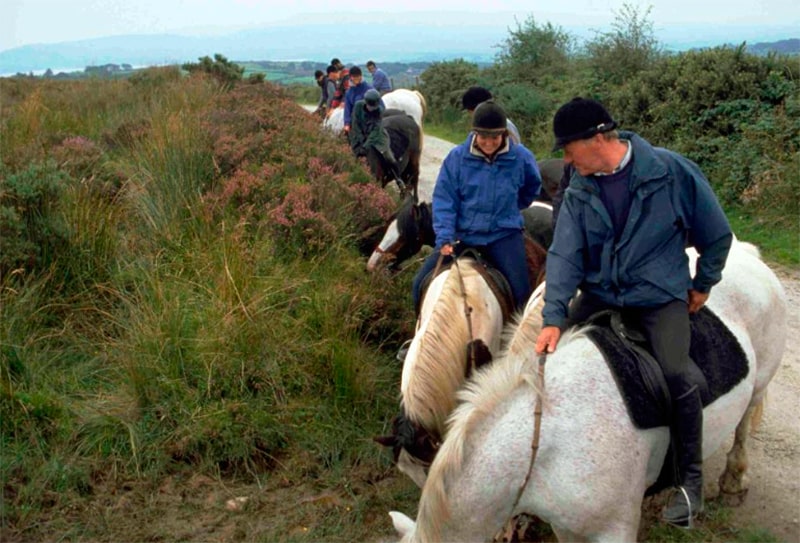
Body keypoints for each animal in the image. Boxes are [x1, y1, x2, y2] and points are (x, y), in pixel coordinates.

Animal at [390, 240, 784, 540]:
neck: (546, 441)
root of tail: (748, 254)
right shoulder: (569, 527)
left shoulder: (614, 530)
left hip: (760, 381)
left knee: (744, 424)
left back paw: (732, 482)